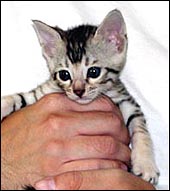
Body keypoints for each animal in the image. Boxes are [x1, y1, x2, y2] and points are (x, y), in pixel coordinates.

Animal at [0, 10, 159, 188]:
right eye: (64, 75)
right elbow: (18, 98)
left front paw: (146, 164)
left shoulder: (126, 100)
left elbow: (140, 129)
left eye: (94, 72)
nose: (78, 91)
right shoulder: (41, 93)